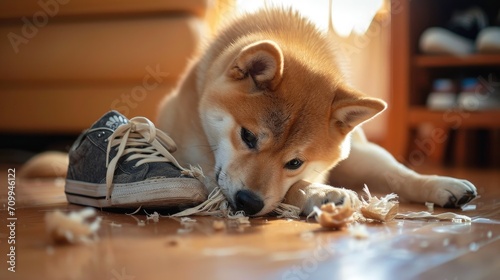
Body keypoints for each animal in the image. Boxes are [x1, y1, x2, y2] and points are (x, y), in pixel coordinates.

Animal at [156, 8, 476, 214]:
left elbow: (293, 186)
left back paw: (445, 185)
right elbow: (290, 189)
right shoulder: (197, 165)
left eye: (295, 162)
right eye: (247, 136)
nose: (249, 202)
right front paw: (322, 194)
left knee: (398, 173)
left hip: (362, 157)